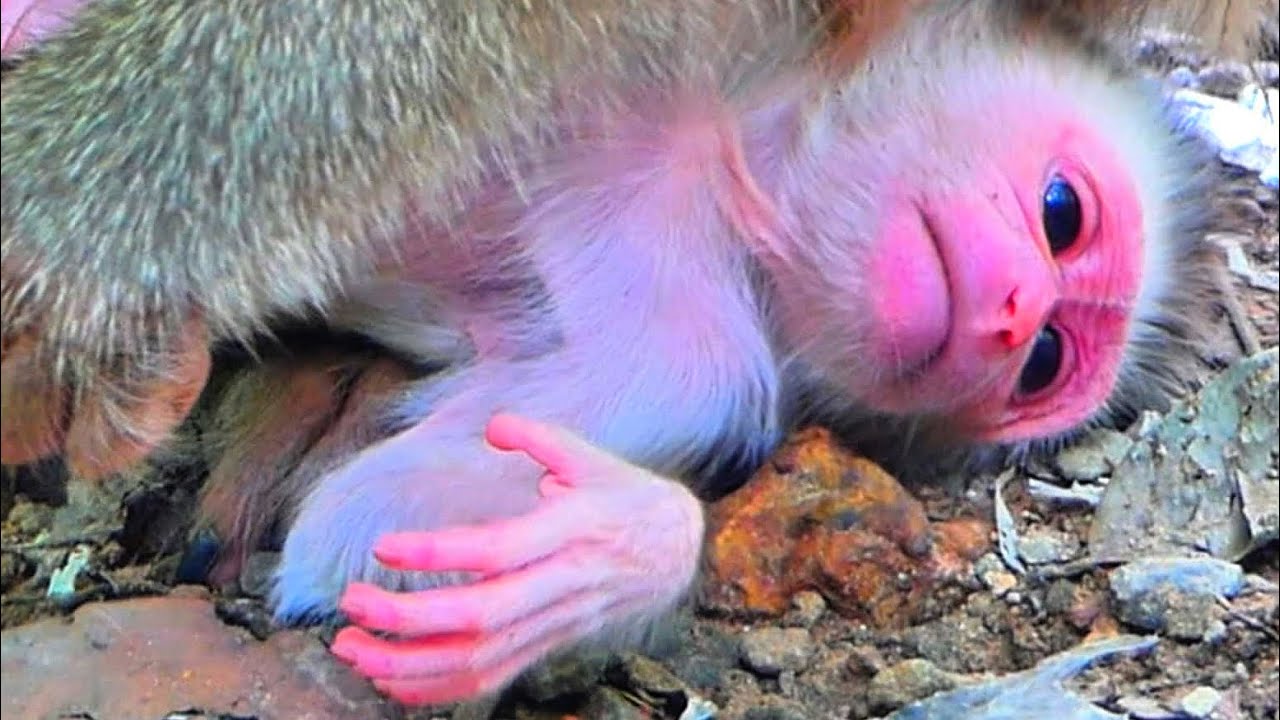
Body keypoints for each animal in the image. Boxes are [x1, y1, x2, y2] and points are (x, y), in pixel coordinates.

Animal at [1, 0, 1271, 708]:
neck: (725, 166)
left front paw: (596, 557)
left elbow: (364, 540)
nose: (1011, 314)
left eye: (1043, 363)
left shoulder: (700, 341)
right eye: (1060, 215)